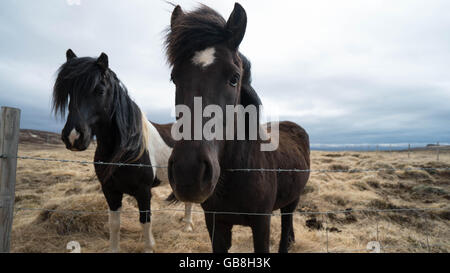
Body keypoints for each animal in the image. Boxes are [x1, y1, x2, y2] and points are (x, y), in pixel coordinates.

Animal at [52, 50, 193, 252]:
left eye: (100, 90)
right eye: (70, 91)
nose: (73, 137)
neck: (124, 151)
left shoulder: (143, 192)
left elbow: (145, 222)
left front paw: (149, 248)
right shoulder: (110, 191)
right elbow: (114, 224)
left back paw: (188, 226)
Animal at [165, 3, 310, 252]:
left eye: (234, 78)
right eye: (174, 78)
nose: (188, 172)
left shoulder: (261, 224)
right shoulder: (215, 223)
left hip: (293, 200)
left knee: (286, 226)